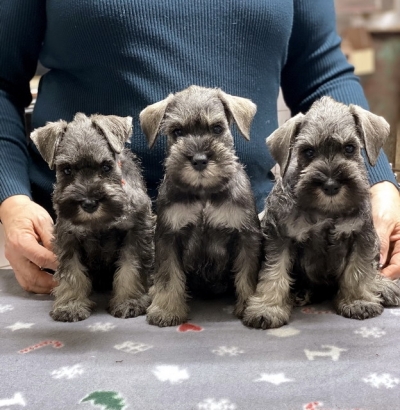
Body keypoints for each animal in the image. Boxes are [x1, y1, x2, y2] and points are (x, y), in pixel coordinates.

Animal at [29, 113, 154, 322]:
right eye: (67, 169)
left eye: (106, 167)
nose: (89, 203)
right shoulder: (68, 236)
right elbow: (72, 272)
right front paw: (71, 305)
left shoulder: (136, 230)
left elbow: (131, 268)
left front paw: (129, 301)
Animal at [140, 85, 262, 326]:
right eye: (177, 132)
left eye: (217, 128)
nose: (199, 160)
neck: (204, 193)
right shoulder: (168, 236)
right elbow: (168, 275)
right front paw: (167, 309)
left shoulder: (246, 236)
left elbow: (247, 274)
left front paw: (248, 306)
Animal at [242, 96, 400, 330]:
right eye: (308, 151)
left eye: (350, 148)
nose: (331, 185)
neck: (326, 212)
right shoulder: (280, 236)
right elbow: (274, 272)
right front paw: (267, 308)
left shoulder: (362, 235)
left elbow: (359, 270)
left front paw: (358, 301)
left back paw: (384, 287)